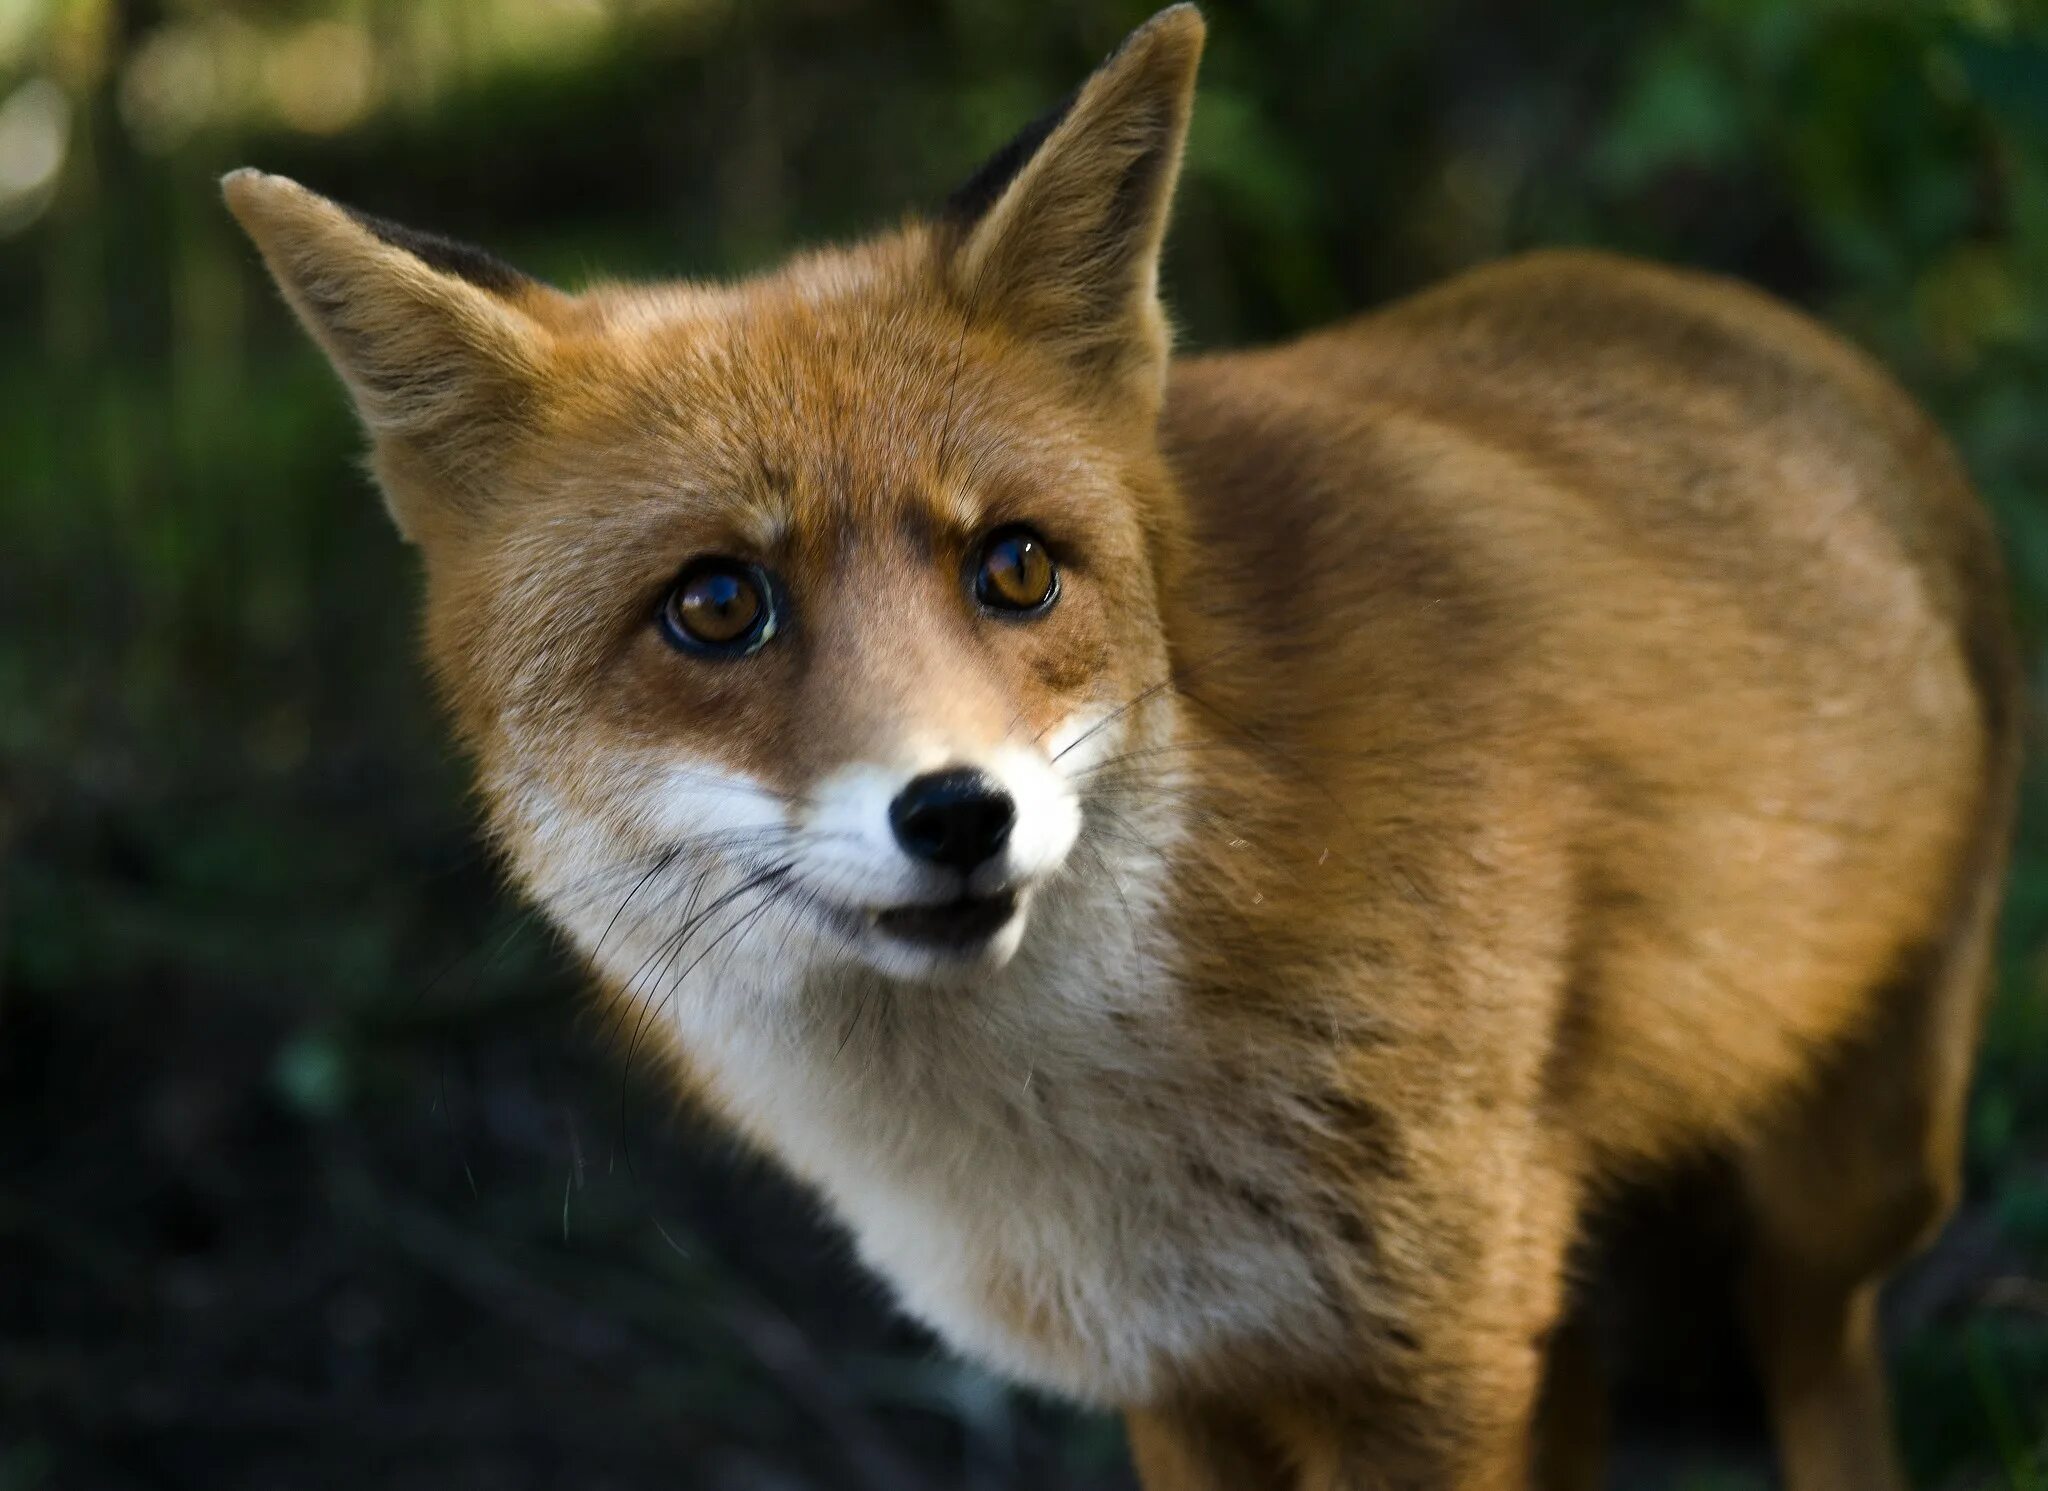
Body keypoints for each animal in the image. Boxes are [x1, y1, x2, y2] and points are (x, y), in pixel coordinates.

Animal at [220, 5, 2015, 1482]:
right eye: (717, 605)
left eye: (1015, 567)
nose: (958, 813)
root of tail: (1731, 307)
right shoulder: (1185, 1370)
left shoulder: (1426, 1356)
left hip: (1843, 1190)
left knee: (1818, 1358)